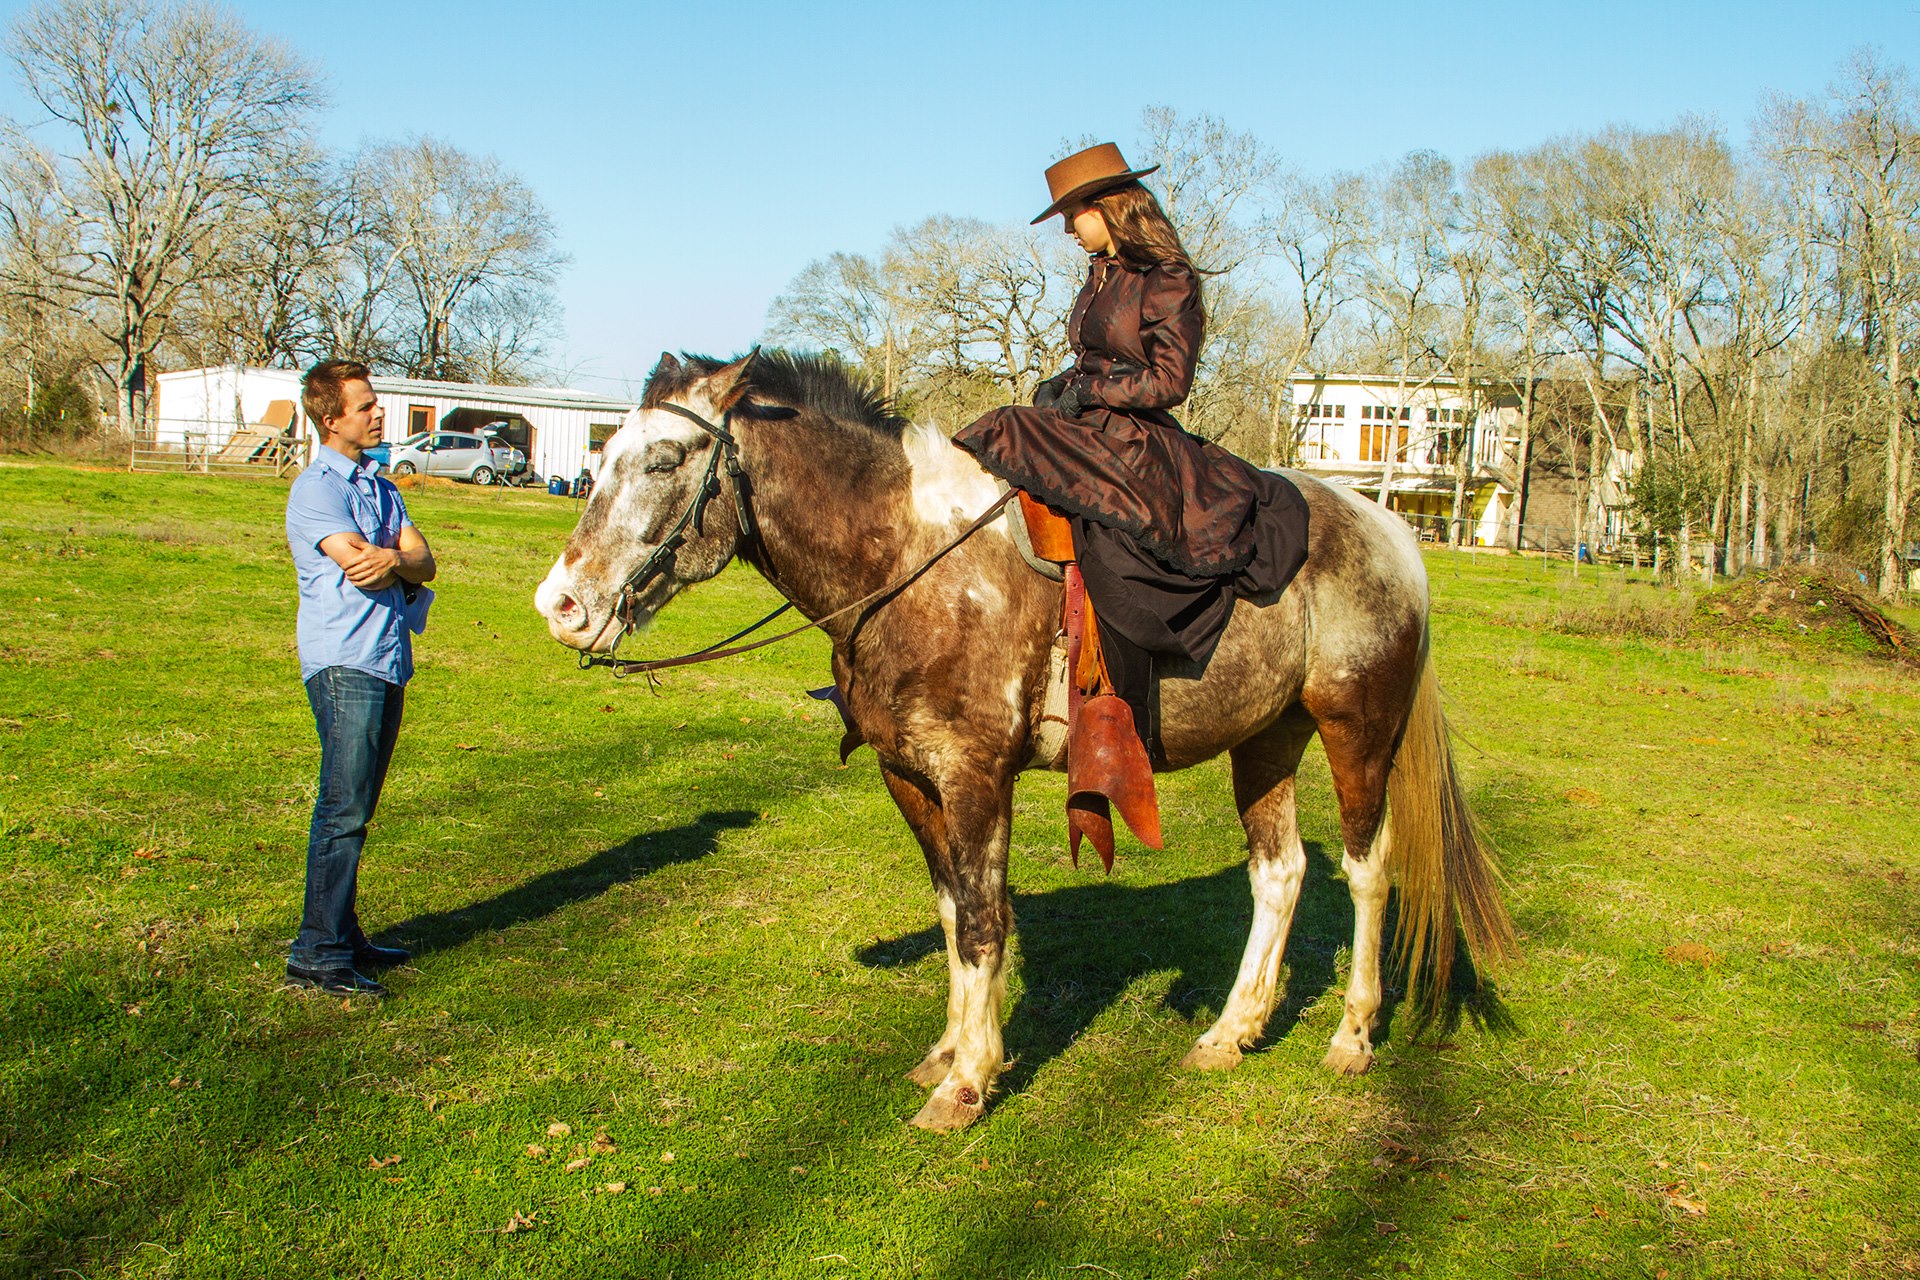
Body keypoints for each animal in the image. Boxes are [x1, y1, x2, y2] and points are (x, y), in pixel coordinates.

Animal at [537, 347, 1512, 1128]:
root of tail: (1390, 530)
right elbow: (951, 913)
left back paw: (1352, 1034)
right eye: (602, 455)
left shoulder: (975, 776)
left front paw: (968, 1082)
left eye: (665, 458)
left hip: (1358, 735)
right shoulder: (910, 778)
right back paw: (1231, 1031)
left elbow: (981, 920)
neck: (909, 559)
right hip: (1267, 742)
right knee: (1280, 874)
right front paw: (950, 1048)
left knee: (1367, 871)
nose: (561, 605)